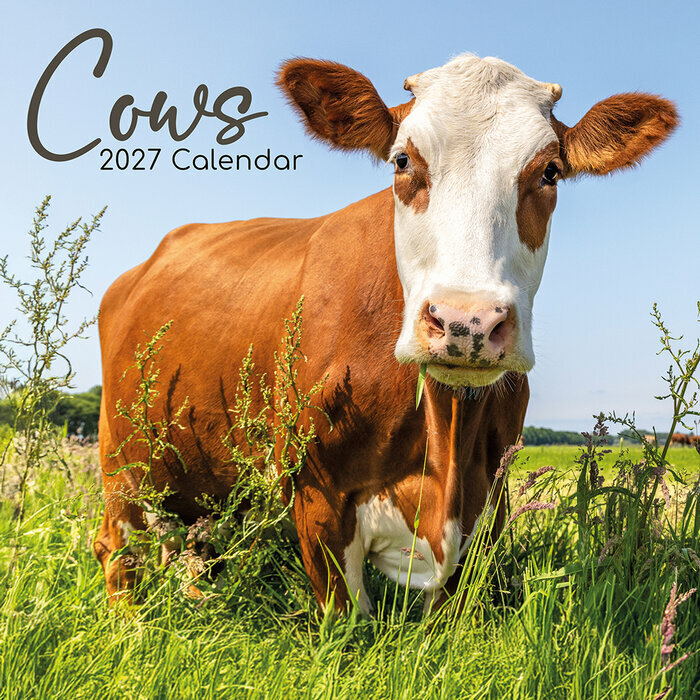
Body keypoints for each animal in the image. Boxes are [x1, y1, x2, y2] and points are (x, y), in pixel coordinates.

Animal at [95, 53, 677, 614]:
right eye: (402, 161)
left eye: (551, 171)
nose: (467, 320)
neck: (446, 438)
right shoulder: (318, 499)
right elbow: (347, 621)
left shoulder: (487, 502)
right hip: (121, 464)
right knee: (117, 548)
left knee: (194, 550)